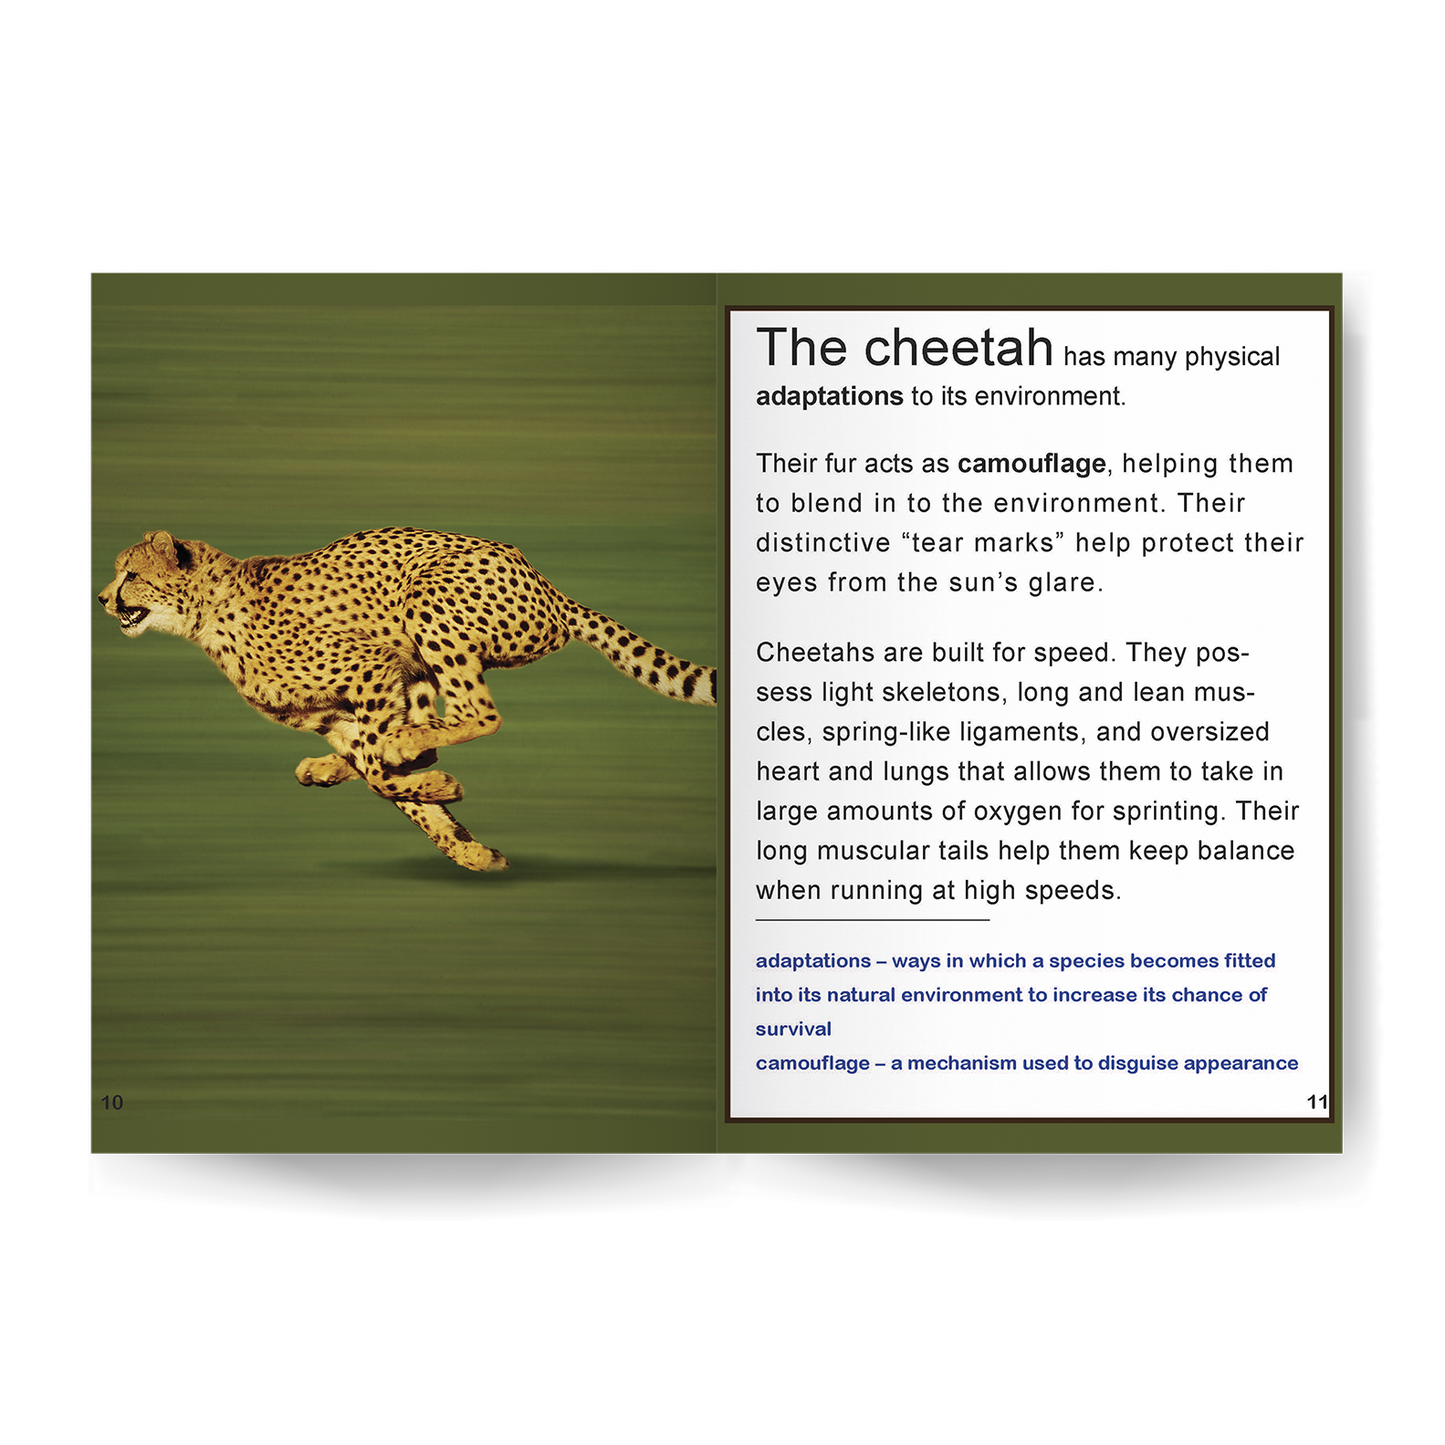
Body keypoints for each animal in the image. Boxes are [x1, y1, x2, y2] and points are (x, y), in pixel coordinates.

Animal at [98, 528, 716, 872]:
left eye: (130, 574)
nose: (102, 598)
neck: (207, 612)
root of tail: (550, 588)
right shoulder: (338, 713)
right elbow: (389, 782)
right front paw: (471, 851)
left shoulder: (369, 667)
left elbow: (383, 773)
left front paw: (440, 791)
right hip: (417, 668)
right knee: (426, 733)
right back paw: (328, 767)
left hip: (425, 597)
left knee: (476, 715)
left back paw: (391, 753)